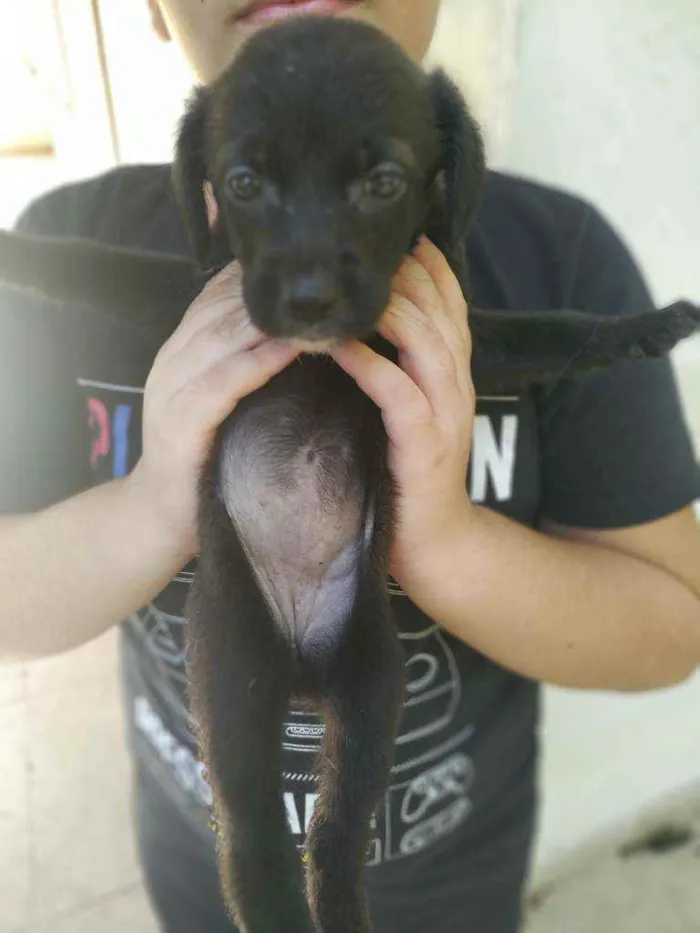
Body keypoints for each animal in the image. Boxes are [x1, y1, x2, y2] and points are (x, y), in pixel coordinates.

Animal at [1, 14, 700, 932]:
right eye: (243, 181)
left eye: (382, 182)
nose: (308, 301)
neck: (318, 354)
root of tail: (302, 662)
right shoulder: (190, 293)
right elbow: (85, 259)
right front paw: (14, 249)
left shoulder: (459, 330)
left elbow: (552, 329)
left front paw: (647, 325)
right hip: (232, 681)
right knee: (254, 839)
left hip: (373, 692)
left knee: (334, 836)